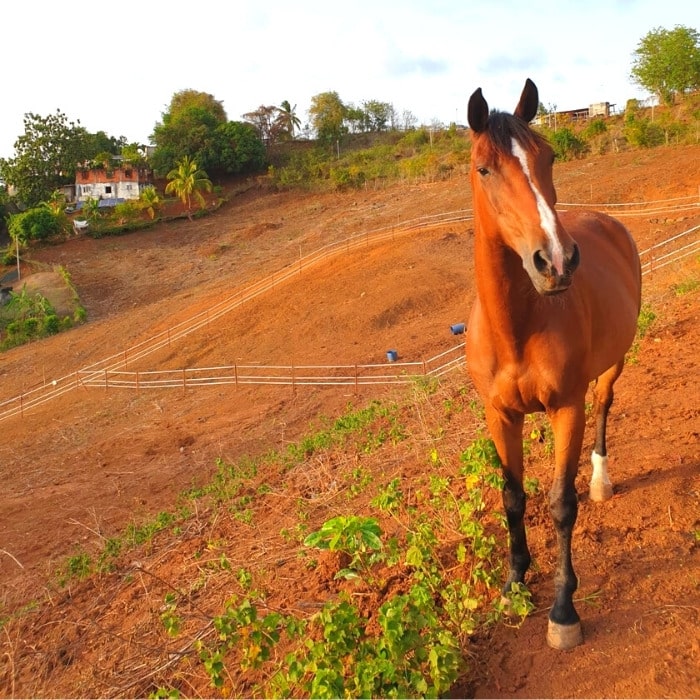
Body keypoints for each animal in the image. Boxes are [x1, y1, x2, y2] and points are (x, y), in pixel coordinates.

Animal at [464, 79, 640, 648]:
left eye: (549, 156)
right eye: (484, 168)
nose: (557, 261)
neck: (518, 329)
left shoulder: (567, 407)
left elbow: (562, 504)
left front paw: (563, 610)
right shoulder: (499, 415)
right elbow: (512, 497)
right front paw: (514, 582)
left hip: (612, 365)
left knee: (604, 405)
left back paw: (602, 479)